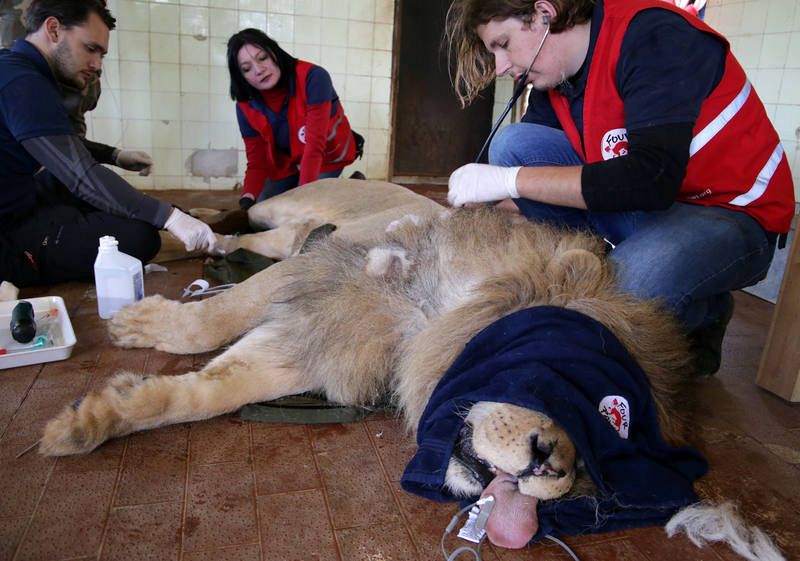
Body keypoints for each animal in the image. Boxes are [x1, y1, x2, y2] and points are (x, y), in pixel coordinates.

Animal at [40, 178, 784, 556]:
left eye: (590, 473)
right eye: (573, 388)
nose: (548, 464)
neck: (438, 317)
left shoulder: (325, 335)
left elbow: (204, 391)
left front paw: (96, 417)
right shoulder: (328, 271)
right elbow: (217, 320)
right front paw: (145, 327)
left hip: (288, 236)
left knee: (238, 238)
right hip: (293, 212)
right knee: (239, 219)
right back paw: (167, 236)